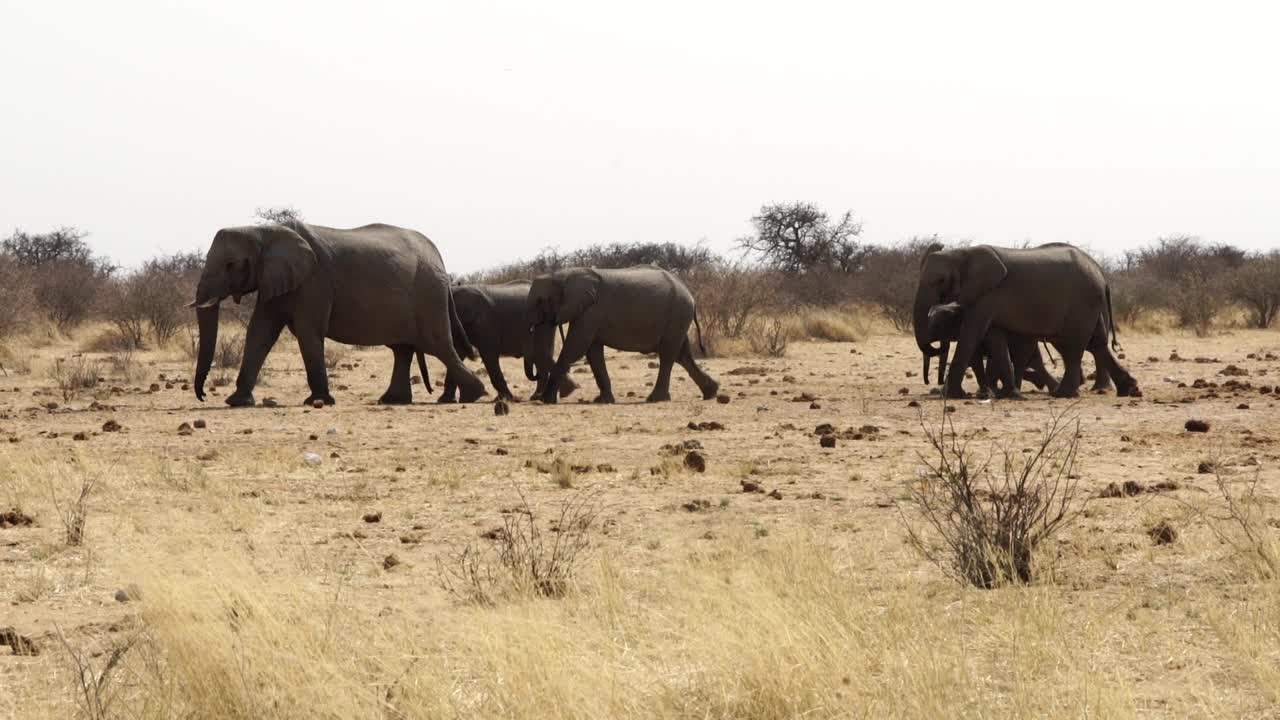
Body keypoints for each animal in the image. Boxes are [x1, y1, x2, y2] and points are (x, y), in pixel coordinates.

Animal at [188, 219, 483, 407]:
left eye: (230, 265)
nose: (202, 395)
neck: (263, 230)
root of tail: (438, 255)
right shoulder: (276, 279)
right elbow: (260, 331)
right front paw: (237, 402)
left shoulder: (313, 280)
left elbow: (307, 331)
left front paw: (318, 401)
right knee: (403, 349)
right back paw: (392, 400)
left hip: (428, 294)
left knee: (437, 345)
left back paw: (474, 395)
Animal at [440, 280, 581, 399]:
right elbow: (458, 352)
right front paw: (444, 400)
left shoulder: (485, 322)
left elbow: (488, 354)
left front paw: (507, 398)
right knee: (541, 356)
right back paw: (544, 395)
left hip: (544, 322)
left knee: (541, 354)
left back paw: (563, 392)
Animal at [522, 263, 721, 399]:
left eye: (540, 301)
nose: (538, 397)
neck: (565, 274)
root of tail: (690, 293)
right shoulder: (589, 313)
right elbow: (593, 352)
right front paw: (603, 401)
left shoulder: (591, 311)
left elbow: (576, 347)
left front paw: (546, 401)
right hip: (677, 318)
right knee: (682, 355)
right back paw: (711, 392)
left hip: (678, 312)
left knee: (667, 354)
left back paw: (655, 399)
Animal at [921, 299, 1059, 394]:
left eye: (937, 327)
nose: (928, 383)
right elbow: (974, 358)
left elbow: (976, 358)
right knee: (1035, 362)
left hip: (1026, 338)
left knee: (1024, 360)